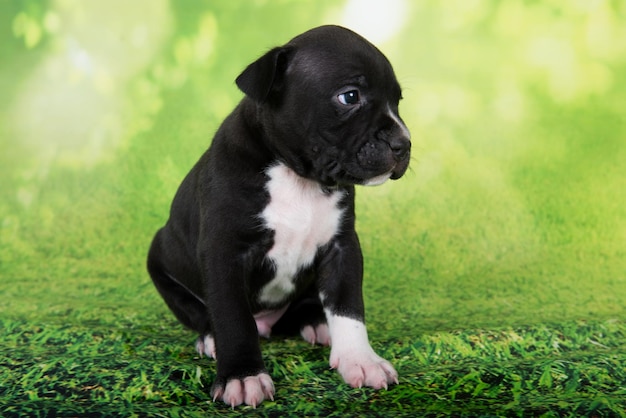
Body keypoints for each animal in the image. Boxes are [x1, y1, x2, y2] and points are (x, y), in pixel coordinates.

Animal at [146, 24, 410, 406]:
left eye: (398, 101)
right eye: (350, 97)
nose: (403, 143)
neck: (298, 177)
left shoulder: (342, 248)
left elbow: (348, 307)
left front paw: (360, 360)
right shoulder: (225, 253)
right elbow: (232, 317)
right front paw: (242, 376)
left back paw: (317, 322)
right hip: (160, 262)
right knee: (202, 313)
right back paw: (210, 338)